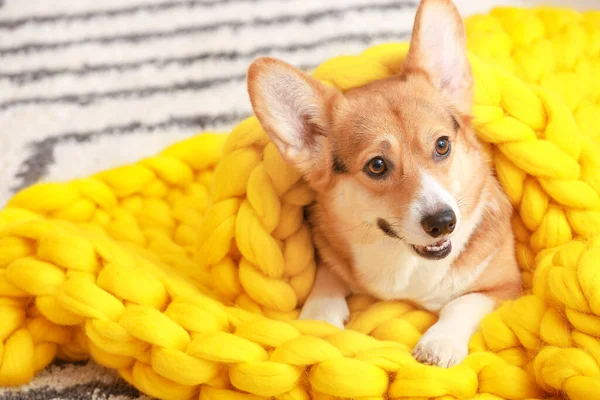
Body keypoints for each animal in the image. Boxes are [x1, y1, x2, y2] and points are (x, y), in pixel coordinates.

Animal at [246, 0, 524, 368]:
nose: (442, 222)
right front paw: (319, 318)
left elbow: (463, 301)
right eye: (377, 165)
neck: (403, 263)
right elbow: (327, 278)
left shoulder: (508, 287)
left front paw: (439, 343)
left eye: (442, 145)